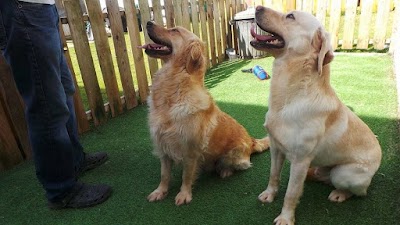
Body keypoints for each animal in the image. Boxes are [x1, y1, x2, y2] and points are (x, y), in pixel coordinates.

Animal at [140, 21, 268, 206]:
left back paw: (225, 171)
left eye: (174, 30)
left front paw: (184, 194)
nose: (148, 23)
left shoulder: (190, 151)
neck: (174, 89)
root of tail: (251, 141)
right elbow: (164, 175)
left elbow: (186, 176)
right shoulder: (163, 147)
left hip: (232, 155)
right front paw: (160, 191)